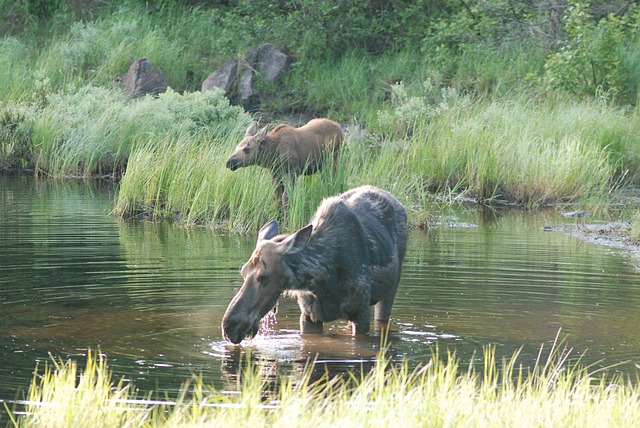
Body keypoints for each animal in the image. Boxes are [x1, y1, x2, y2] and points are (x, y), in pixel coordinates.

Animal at [222, 186, 408, 344]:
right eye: (243, 271)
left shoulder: (361, 312)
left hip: (389, 293)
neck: (322, 280)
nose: (229, 327)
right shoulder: (309, 316)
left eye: (263, 276)